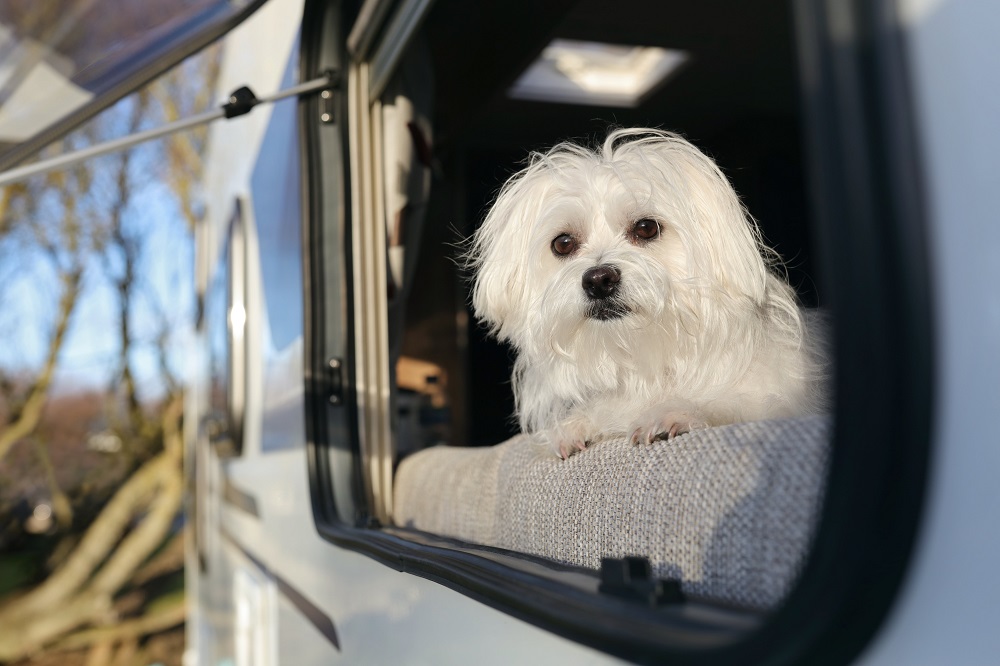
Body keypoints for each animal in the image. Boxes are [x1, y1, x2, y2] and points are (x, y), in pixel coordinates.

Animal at [468, 128, 828, 456]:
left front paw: (678, 410)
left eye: (646, 228)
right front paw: (578, 425)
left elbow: (739, 403)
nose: (598, 280)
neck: (649, 359)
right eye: (563, 244)